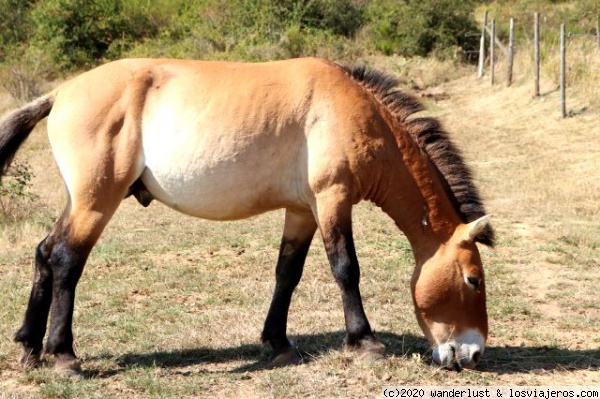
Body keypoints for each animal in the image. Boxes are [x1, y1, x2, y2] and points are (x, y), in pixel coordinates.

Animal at [0, 57, 494, 376]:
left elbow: (287, 273)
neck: (354, 111)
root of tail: (60, 93)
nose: (472, 355)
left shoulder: (303, 211)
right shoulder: (332, 200)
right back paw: (63, 356)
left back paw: (29, 348)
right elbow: (346, 269)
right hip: (96, 202)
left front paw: (278, 342)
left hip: (80, 202)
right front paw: (364, 342)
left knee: (44, 253)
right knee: (66, 260)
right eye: (473, 280)